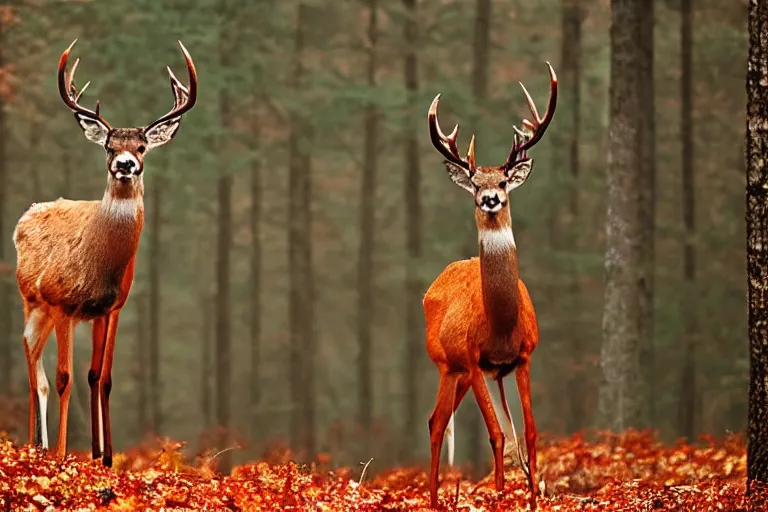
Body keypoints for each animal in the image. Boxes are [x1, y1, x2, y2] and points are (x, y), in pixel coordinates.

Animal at [14, 38, 198, 466]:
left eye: (143, 146)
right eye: (109, 147)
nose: (126, 164)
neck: (97, 265)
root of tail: (27, 213)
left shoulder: (111, 307)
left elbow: (101, 377)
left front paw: (105, 457)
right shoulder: (63, 303)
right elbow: (65, 378)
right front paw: (65, 452)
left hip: (47, 310)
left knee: (41, 363)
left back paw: (41, 445)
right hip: (32, 300)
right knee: (33, 364)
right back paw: (39, 445)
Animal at [424, 63, 556, 508]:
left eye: (502, 181)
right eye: (476, 185)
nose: (490, 199)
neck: (500, 325)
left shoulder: (524, 356)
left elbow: (528, 433)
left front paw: (532, 500)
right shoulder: (473, 355)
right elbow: (496, 435)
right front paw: (499, 496)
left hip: (474, 374)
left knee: (442, 420)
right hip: (448, 364)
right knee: (436, 423)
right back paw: (433, 499)